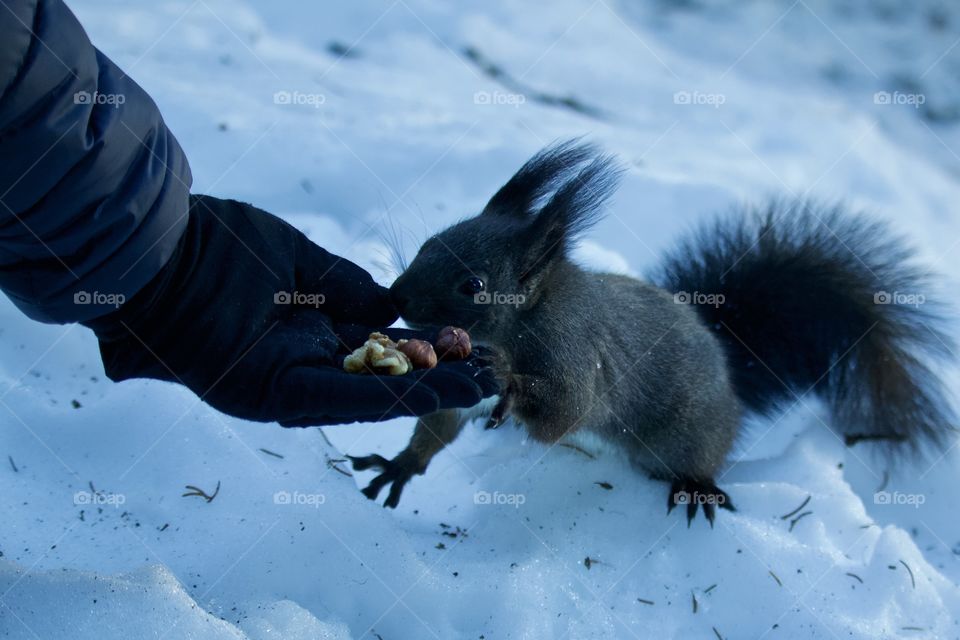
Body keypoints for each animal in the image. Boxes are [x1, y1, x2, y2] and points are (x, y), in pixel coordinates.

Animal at [348, 140, 956, 526]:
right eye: (429, 242)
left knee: (695, 456)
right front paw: (400, 467)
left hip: (687, 433)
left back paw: (697, 487)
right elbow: (439, 427)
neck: (521, 318)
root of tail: (730, 374)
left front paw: (507, 377)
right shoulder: (459, 395)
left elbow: (565, 410)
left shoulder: (573, 349)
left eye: (473, 284)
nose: (396, 297)